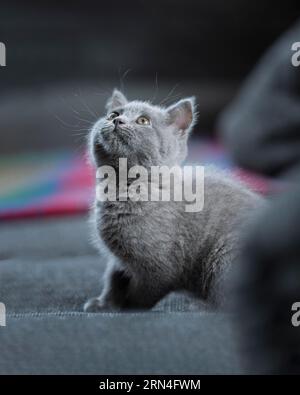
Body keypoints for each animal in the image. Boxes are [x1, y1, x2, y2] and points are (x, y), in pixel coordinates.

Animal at [84, 90, 260, 312]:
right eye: (113, 114)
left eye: (143, 120)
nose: (117, 120)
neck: (123, 185)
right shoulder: (118, 258)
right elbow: (114, 277)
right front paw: (104, 303)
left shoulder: (158, 268)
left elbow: (144, 293)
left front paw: (128, 307)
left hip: (226, 255)